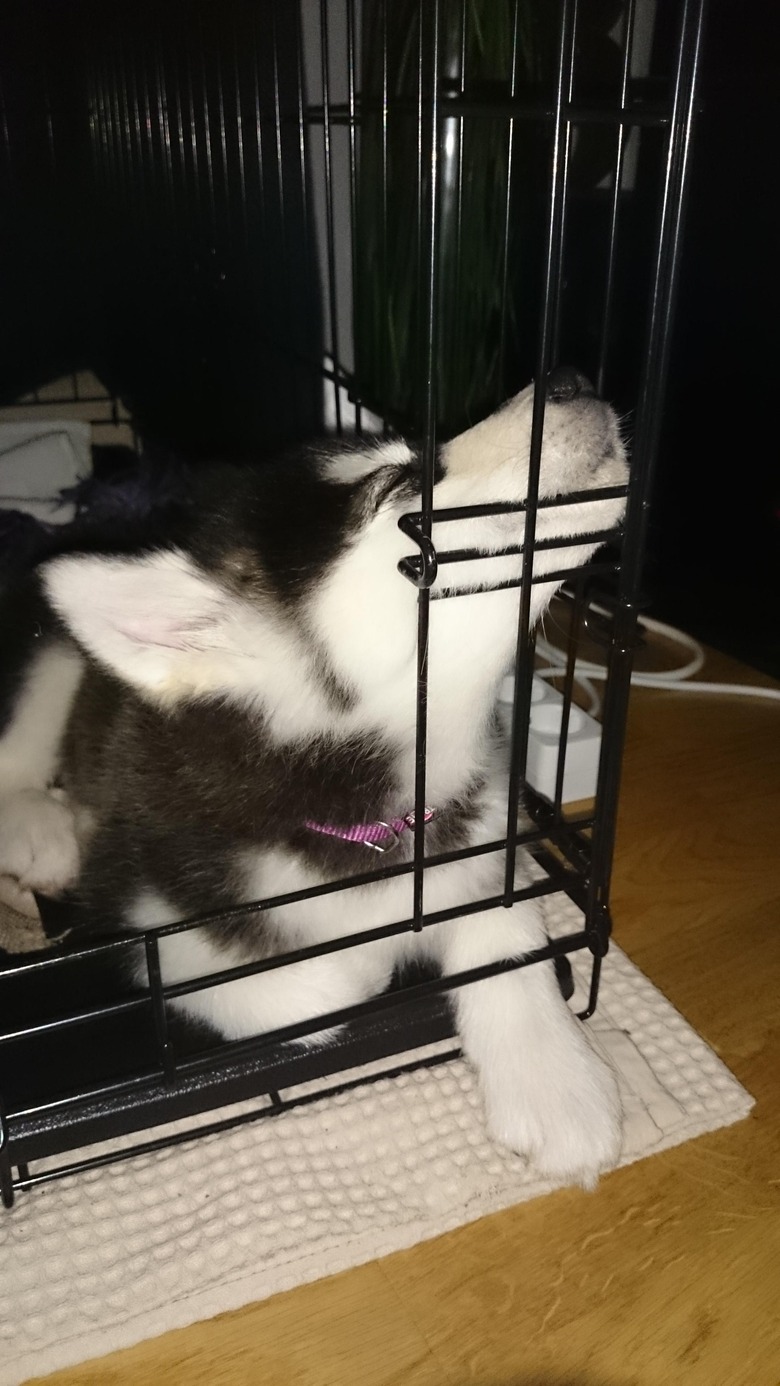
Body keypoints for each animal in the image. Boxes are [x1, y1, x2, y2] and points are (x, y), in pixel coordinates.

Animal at [0, 371, 626, 1191]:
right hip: (44, 651)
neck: (387, 800)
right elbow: (327, 985)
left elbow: (508, 926)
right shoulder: (145, 923)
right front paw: (375, 961)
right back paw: (41, 831)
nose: (571, 379)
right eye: (399, 485)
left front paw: (557, 1081)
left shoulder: (487, 838)